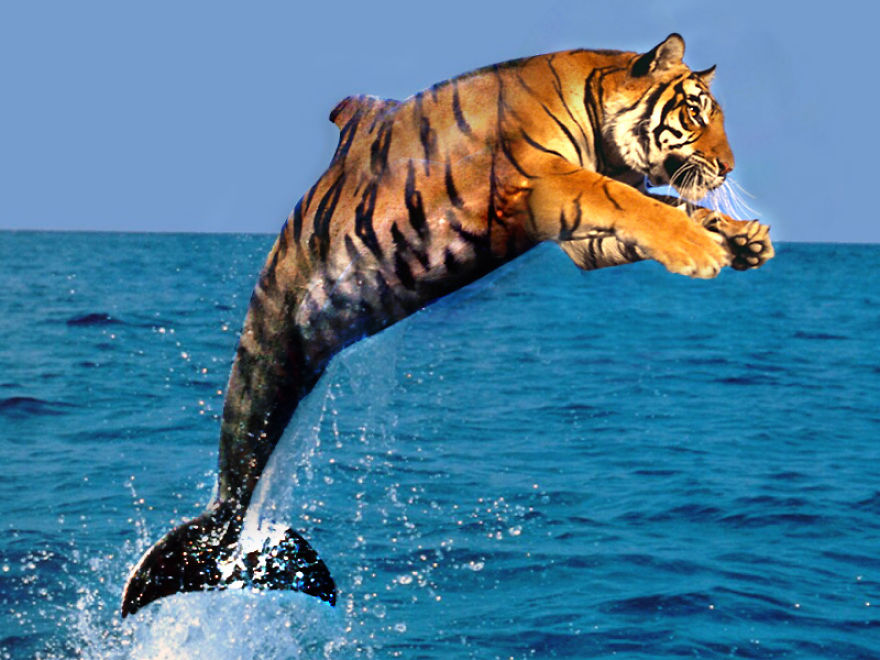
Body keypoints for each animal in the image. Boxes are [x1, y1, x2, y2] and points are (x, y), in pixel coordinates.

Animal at [121, 33, 774, 617]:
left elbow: (665, 205)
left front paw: (743, 237)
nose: (728, 167)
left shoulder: (576, 236)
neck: (589, 96)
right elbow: (630, 201)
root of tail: (225, 528)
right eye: (694, 111)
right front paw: (701, 249)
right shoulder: (541, 181)